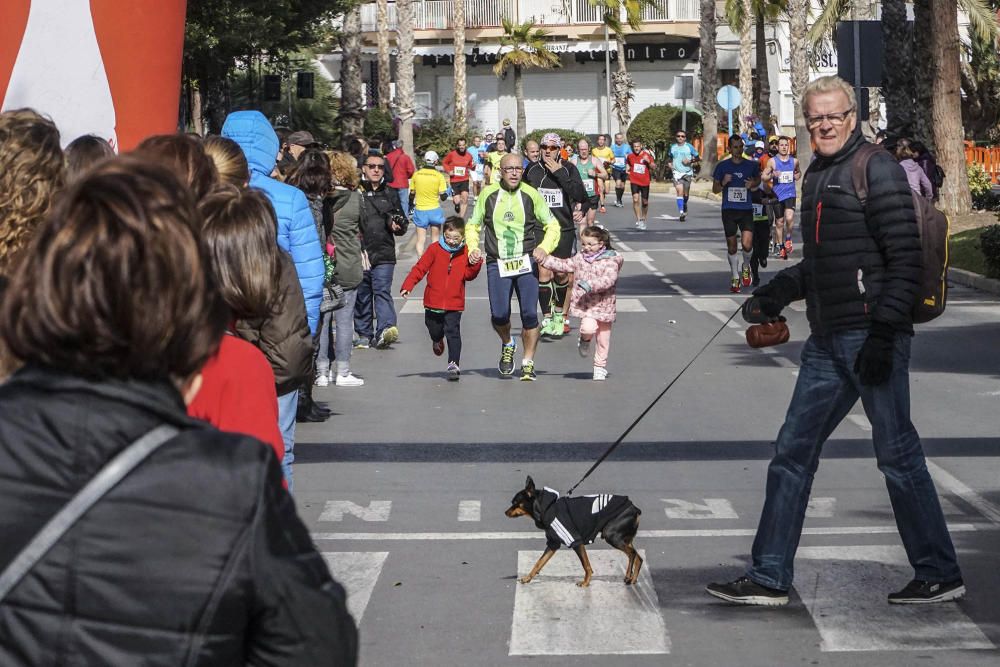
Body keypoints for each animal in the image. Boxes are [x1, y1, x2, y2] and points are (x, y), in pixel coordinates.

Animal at [508, 478, 640, 588]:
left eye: (515, 503)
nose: (505, 512)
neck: (546, 508)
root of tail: (634, 508)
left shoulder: (575, 540)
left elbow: (586, 565)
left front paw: (586, 582)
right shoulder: (553, 544)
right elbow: (539, 563)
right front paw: (527, 578)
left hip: (611, 535)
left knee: (632, 554)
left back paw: (628, 576)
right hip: (623, 538)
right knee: (638, 558)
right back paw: (633, 579)